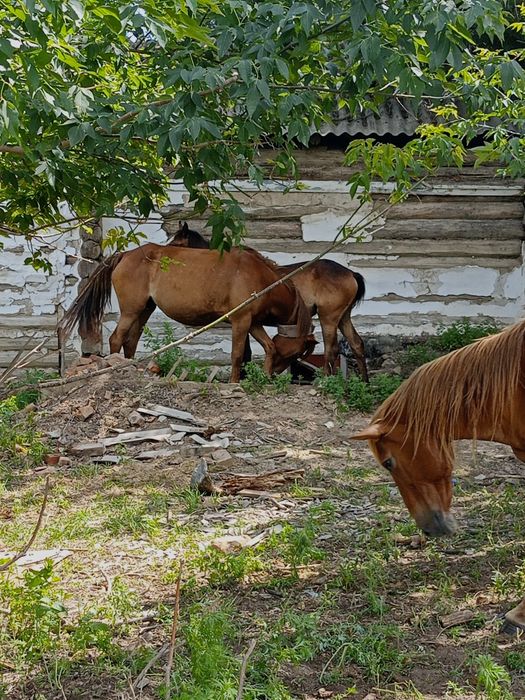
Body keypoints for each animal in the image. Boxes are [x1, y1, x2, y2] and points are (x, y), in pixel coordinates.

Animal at [60, 244, 316, 383]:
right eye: (296, 353)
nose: (276, 374)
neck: (261, 277)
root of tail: (126, 254)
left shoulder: (252, 322)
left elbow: (268, 347)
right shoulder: (241, 320)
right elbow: (237, 354)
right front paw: (235, 382)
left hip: (145, 310)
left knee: (131, 341)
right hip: (132, 310)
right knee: (117, 338)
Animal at [168, 222, 368, 380]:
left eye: (177, 243)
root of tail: (350, 273)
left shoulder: (242, 319)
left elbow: (245, 352)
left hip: (329, 318)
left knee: (331, 349)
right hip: (343, 317)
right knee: (357, 344)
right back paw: (364, 383)